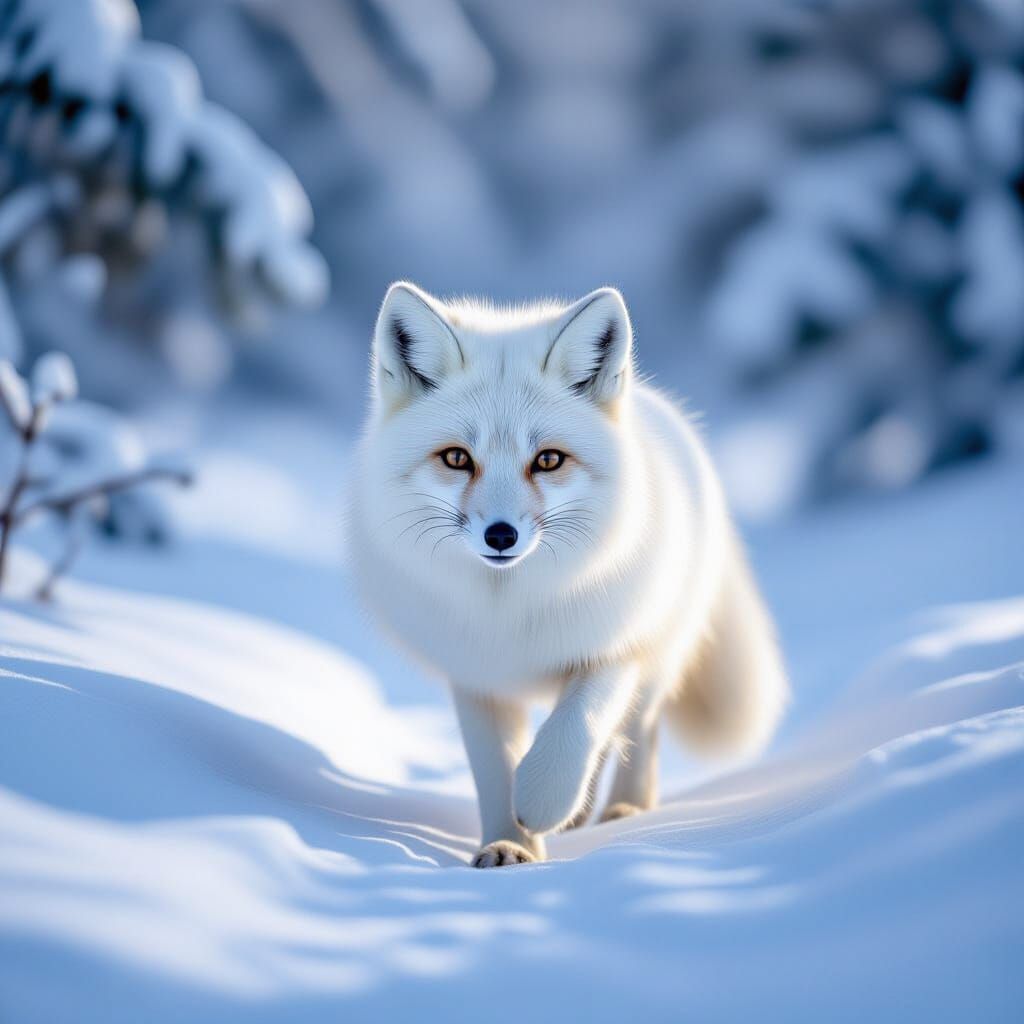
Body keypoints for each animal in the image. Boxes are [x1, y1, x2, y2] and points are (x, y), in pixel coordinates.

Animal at [348, 282, 788, 867]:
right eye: (457, 458)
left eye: (549, 460)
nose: (502, 536)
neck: (511, 613)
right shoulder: (476, 676)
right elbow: (495, 770)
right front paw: (508, 844)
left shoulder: (614, 649)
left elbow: (574, 731)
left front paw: (540, 804)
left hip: (659, 652)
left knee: (636, 730)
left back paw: (624, 810)